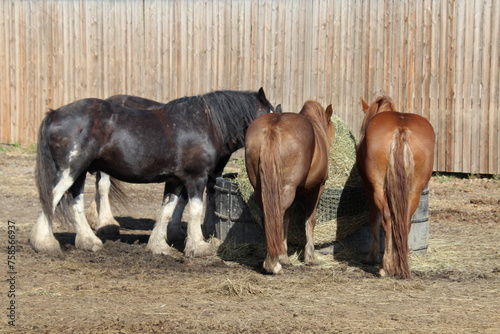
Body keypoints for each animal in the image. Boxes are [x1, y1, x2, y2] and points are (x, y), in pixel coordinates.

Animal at [31, 87, 276, 258]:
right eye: (271, 118)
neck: (206, 124)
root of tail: (55, 114)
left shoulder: (176, 181)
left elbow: (167, 210)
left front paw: (159, 245)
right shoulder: (196, 178)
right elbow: (195, 210)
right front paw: (198, 246)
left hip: (79, 173)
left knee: (75, 202)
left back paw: (88, 241)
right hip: (70, 171)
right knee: (52, 198)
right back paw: (44, 241)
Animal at [244, 101, 334, 274]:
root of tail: (273, 126)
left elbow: (287, 219)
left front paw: (284, 255)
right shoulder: (316, 189)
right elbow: (310, 220)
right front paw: (310, 258)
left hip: (261, 190)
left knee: (269, 217)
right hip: (289, 189)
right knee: (277, 215)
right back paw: (273, 264)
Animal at [356, 96, 434, 280]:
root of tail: (401, 129)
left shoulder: (369, 188)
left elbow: (374, 219)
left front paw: (371, 256)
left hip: (379, 189)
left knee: (387, 218)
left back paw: (387, 267)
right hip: (414, 191)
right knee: (404, 220)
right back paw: (402, 263)